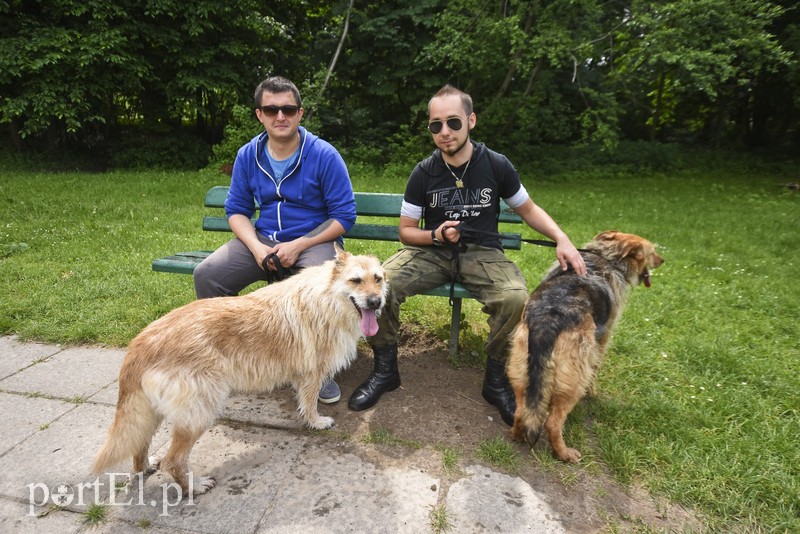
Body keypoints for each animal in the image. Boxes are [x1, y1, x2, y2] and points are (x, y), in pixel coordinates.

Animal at [94, 249, 388, 496]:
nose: (375, 302)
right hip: (199, 411)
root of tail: (141, 342)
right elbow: (309, 402)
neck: (327, 297)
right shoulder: (312, 373)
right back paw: (193, 487)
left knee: (139, 442)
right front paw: (316, 422)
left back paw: (145, 467)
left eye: (378, 278)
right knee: (174, 460)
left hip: (151, 411)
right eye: (355, 280)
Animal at [510, 232, 664, 462]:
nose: (662, 260)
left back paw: (517, 434)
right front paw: (593, 393)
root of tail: (547, 319)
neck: (608, 257)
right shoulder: (603, 339)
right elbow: (596, 367)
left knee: (522, 411)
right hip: (573, 380)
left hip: (520, 369)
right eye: (651, 252)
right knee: (552, 423)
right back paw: (565, 453)